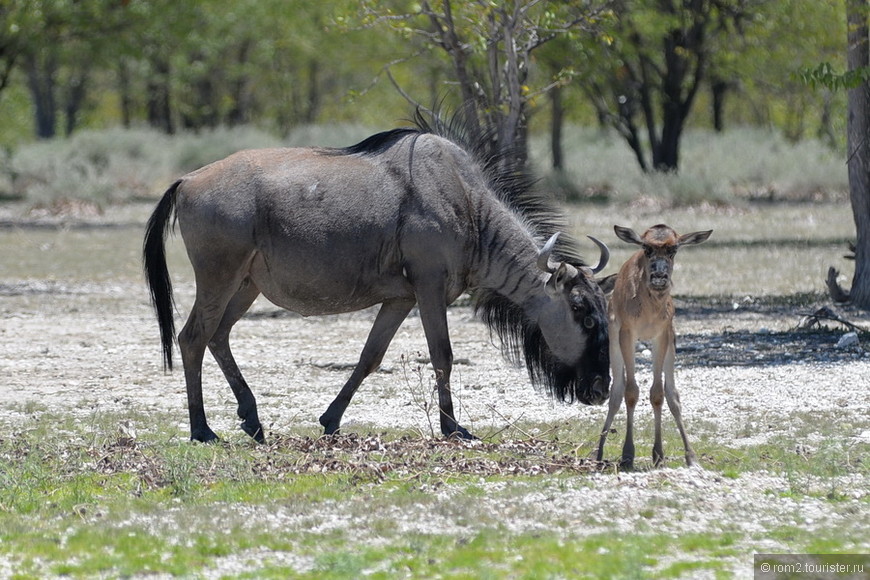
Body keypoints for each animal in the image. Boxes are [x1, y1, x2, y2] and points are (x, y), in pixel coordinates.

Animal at [600, 224, 716, 468]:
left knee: (672, 394)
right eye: (646, 248)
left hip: (670, 344)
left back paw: (690, 456)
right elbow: (630, 391)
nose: (660, 278)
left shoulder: (662, 334)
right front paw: (627, 455)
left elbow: (659, 394)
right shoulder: (627, 333)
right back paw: (598, 452)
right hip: (614, 342)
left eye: (674, 249)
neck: (649, 308)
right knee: (616, 391)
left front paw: (660, 455)